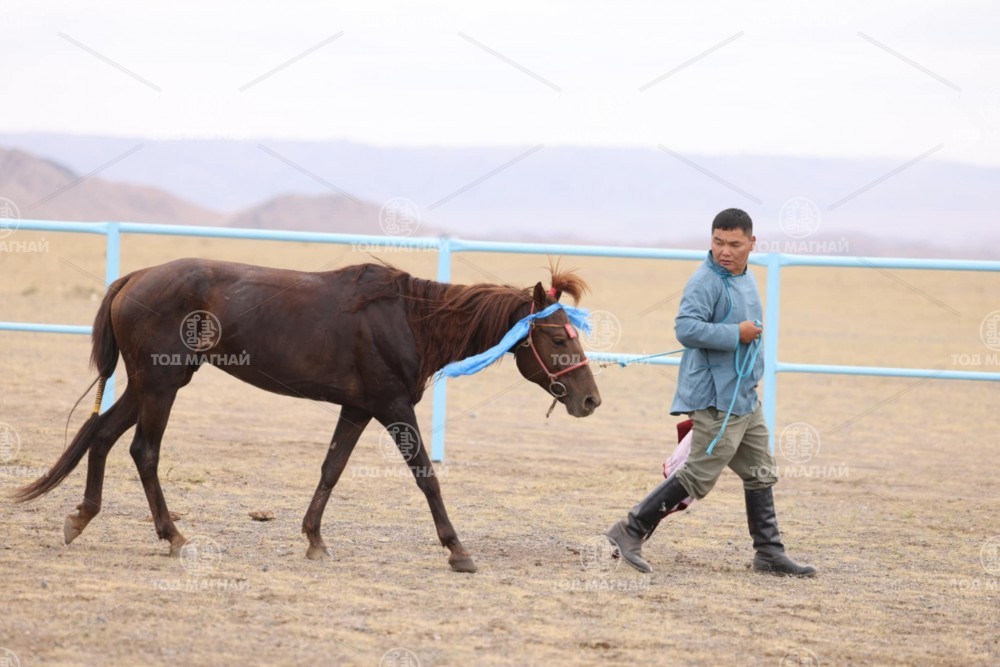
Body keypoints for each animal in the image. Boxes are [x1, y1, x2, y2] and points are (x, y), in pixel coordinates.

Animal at [15, 258, 601, 572]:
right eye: (556, 336)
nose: (590, 400)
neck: (408, 320)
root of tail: (134, 278)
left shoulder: (358, 408)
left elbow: (331, 470)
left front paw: (314, 539)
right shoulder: (393, 407)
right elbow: (426, 477)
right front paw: (458, 551)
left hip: (149, 384)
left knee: (102, 435)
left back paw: (81, 517)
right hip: (160, 385)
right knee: (143, 451)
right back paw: (173, 537)